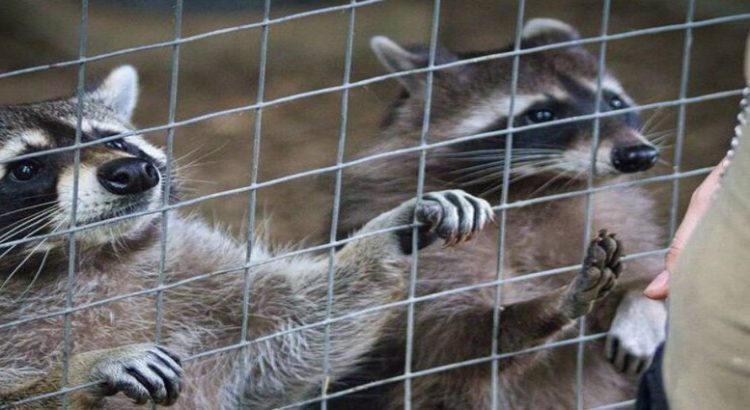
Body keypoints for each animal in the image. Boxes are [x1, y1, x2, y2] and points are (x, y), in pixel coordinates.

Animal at [0, 65, 506, 408]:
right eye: (26, 168)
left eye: (115, 141)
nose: (133, 171)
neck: (91, 257)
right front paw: (82, 368)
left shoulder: (194, 267)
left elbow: (293, 334)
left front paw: (389, 233)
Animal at [328, 18, 668, 406]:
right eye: (542, 115)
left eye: (614, 101)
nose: (637, 155)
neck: (542, 187)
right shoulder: (430, 248)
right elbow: (457, 343)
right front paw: (551, 304)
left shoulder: (615, 215)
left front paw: (642, 303)